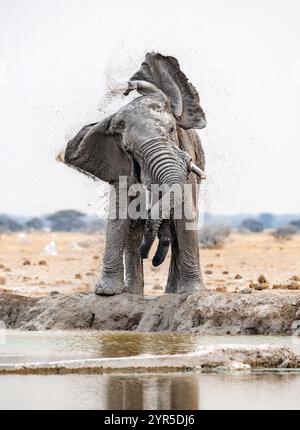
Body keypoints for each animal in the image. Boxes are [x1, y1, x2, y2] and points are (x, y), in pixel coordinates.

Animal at [60, 52, 207, 296]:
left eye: (171, 131)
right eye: (130, 149)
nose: (148, 256)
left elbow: (185, 212)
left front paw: (193, 293)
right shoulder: (118, 164)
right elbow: (121, 212)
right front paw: (106, 293)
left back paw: (171, 292)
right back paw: (133, 292)